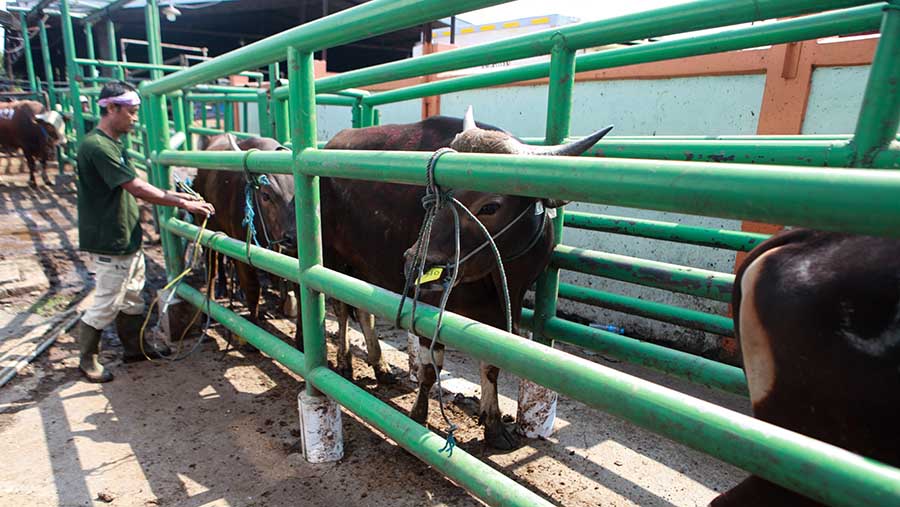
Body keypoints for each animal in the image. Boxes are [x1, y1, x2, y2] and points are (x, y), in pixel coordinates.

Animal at [324, 112, 612, 448]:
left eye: (490, 206)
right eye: (431, 199)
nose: (415, 263)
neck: (496, 281)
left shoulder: (500, 313)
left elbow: (491, 367)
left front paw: (494, 424)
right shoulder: (429, 302)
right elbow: (430, 369)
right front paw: (418, 414)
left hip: (362, 266)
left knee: (363, 312)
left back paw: (380, 366)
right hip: (332, 257)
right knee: (341, 309)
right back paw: (345, 362)